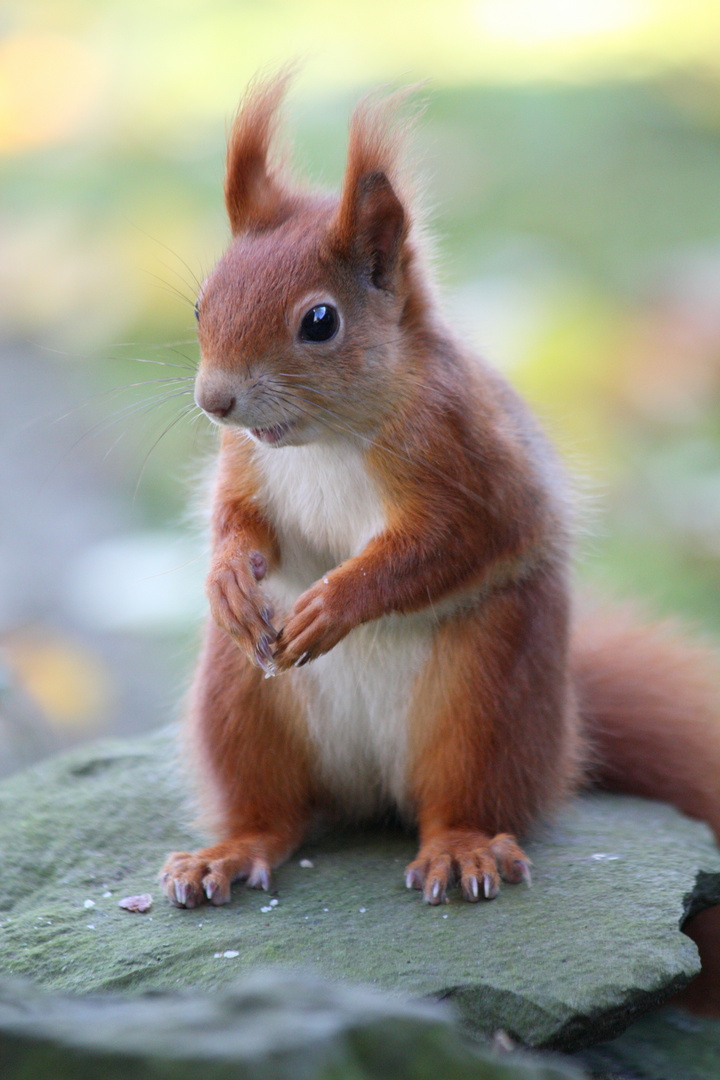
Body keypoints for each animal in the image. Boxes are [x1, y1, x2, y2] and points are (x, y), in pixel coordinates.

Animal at [160, 73, 720, 1002]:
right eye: (203, 301)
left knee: (460, 799)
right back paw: (228, 853)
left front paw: (335, 604)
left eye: (320, 321)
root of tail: (372, 789)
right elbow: (237, 523)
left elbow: (456, 542)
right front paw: (227, 580)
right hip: (240, 701)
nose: (216, 401)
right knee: (276, 814)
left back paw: (458, 849)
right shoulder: (246, 465)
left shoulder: (472, 459)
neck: (328, 436)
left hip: (489, 692)